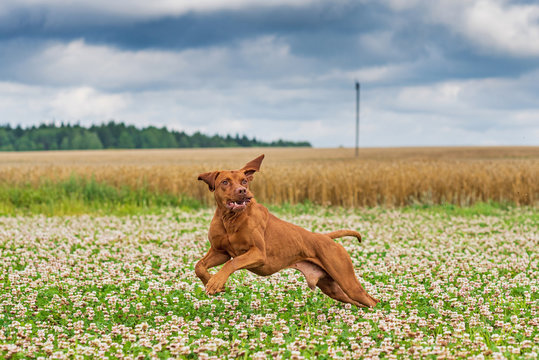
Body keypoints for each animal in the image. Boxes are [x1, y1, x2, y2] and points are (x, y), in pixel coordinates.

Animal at [195, 155, 380, 306]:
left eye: (244, 181)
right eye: (225, 182)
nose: (243, 191)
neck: (230, 219)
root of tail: (325, 237)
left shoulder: (258, 253)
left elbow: (232, 263)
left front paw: (216, 282)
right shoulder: (220, 252)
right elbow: (199, 266)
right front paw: (212, 282)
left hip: (347, 281)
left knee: (372, 301)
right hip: (333, 288)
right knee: (360, 302)